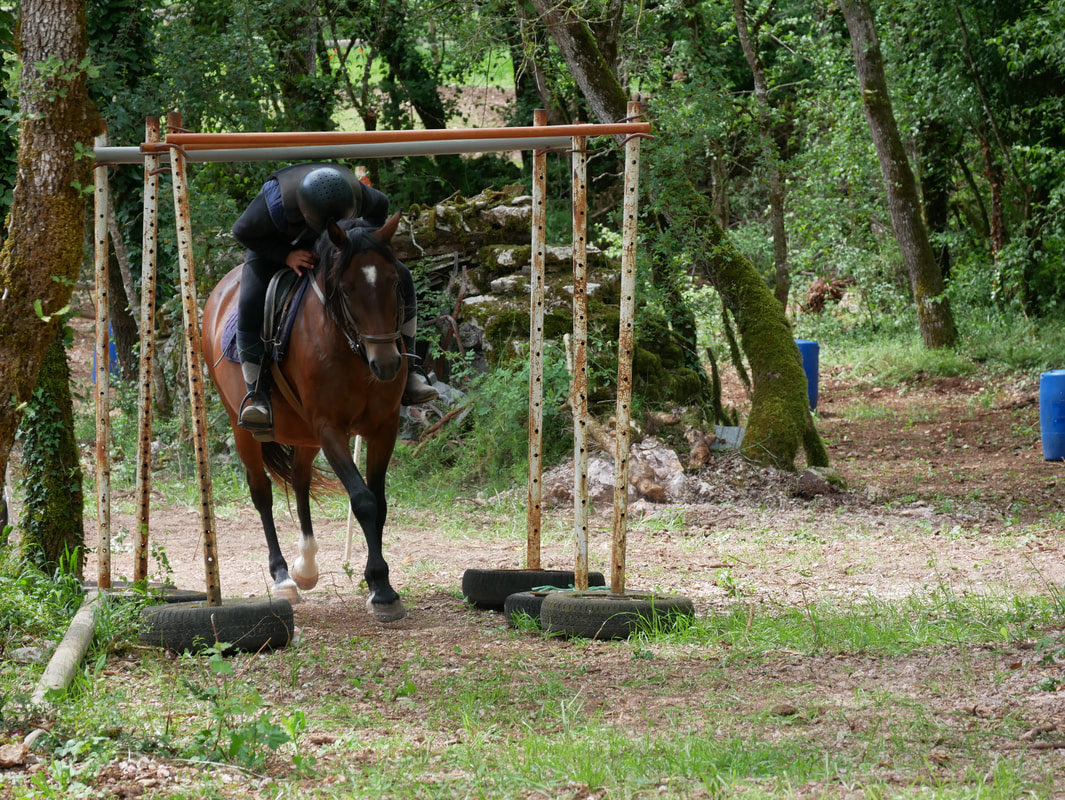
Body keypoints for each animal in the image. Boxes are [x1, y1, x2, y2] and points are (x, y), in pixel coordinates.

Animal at [202, 213, 408, 622]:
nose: (387, 363)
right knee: (262, 493)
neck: (351, 348)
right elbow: (363, 500)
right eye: (347, 290)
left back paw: (307, 566)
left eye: (394, 282)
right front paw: (380, 588)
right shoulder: (329, 428)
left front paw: (381, 585)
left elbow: (379, 502)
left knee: (299, 480)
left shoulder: (383, 428)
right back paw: (283, 576)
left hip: (304, 435)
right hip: (244, 428)